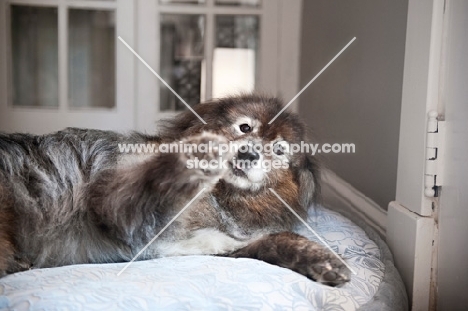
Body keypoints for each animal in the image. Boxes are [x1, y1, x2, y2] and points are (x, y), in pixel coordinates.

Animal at [0, 94, 350, 288]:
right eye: (244, 127)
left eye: (278, 150)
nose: (248, 154)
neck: (218, 197)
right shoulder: (115, 200)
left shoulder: (206, 242)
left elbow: (276, 241)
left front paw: (323, 261)